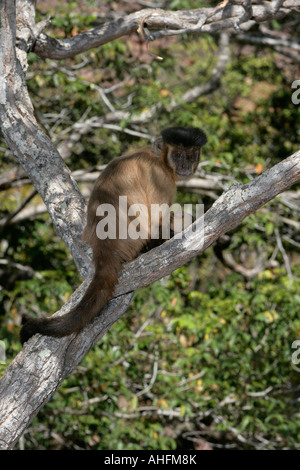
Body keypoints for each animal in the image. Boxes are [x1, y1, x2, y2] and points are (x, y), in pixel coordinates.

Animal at [20, 126, 206, 344]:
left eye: (190, 156)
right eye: (177, 155)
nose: (185, 164)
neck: (158, 158)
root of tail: (105, 250)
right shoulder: (160, 177)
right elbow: (156, 222)